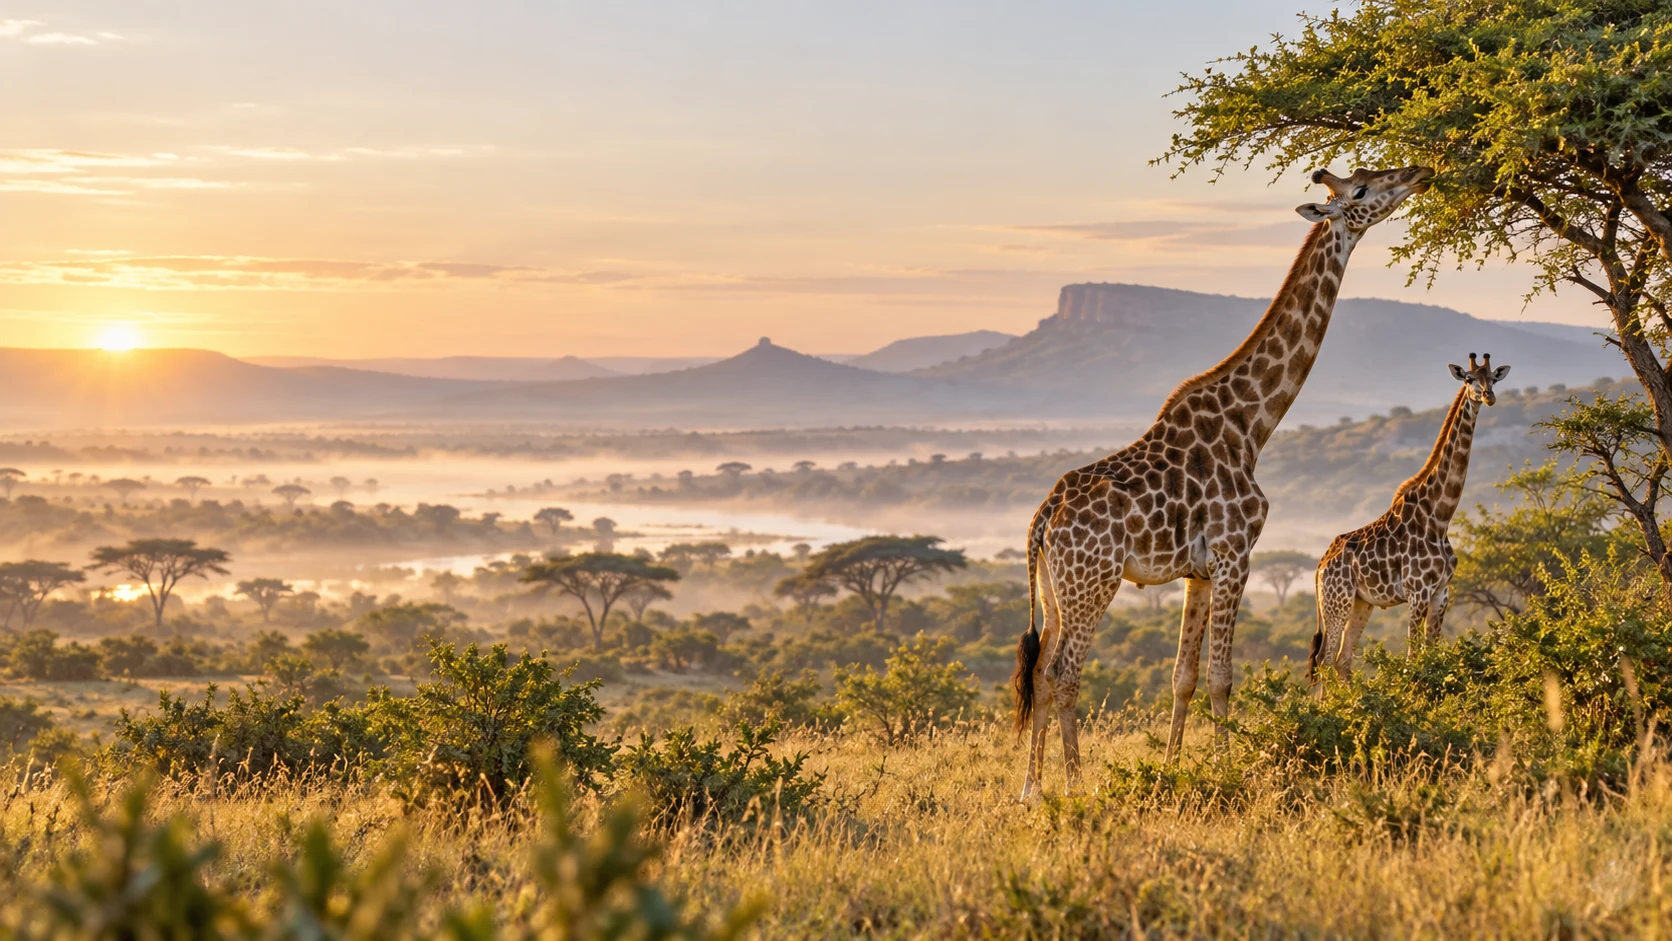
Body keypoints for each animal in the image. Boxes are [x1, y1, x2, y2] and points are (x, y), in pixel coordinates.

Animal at [1010, 165, 1435, 799]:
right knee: (1064, 671)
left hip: (1055, 588)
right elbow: (1221, 676)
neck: (1251, 424)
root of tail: (1043, 518)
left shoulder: (1199, 572)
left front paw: (1170, 768)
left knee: (1040, 670)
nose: (1418, 173)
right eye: (1359, 191)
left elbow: (1183, 675)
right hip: (1093, 581)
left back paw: (1032, 787)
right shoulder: (1237, 555)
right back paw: (1076, 785)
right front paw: (1230, 768)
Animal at [1307, 353, 1512, 687]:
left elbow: (1433, 653)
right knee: (1324, 660)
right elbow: (1412, 659)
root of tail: (1320, 566)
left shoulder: (1442, 592)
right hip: (1336, 600)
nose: (1488, 396)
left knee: (1342, 660)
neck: (1439, 517)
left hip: (1361, 603)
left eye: (1493, 377)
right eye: (1469, 379)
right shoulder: (1417, 591)